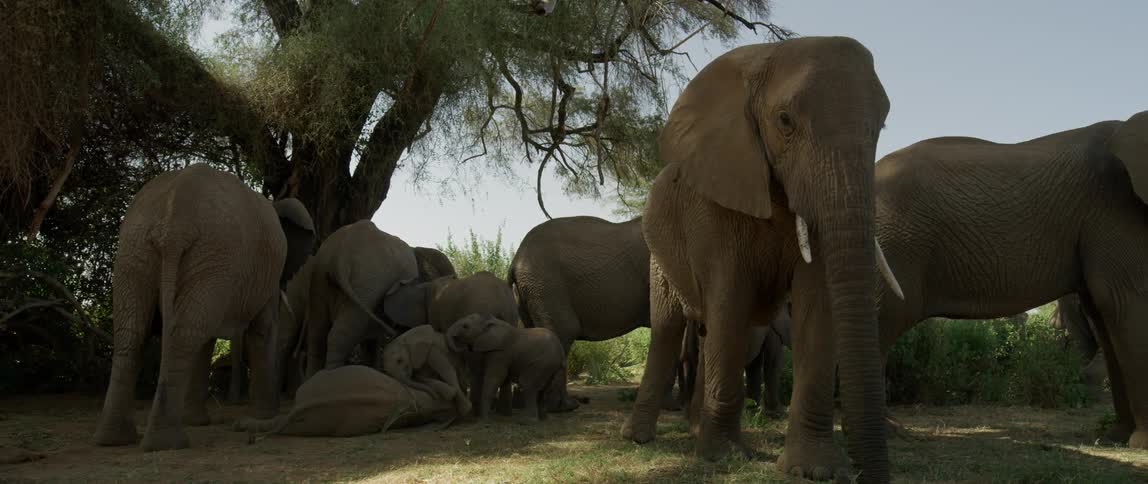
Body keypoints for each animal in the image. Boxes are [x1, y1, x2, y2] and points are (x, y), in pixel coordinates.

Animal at [93, 163, 300, 451]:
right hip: (208, 253)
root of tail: (174, 222)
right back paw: (165, 442)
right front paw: (264, 418)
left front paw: (199, 422)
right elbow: (262, 330)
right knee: (183, 334)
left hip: (138, 251)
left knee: (133, 333)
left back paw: (118, 440)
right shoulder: (267, 273)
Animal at [621, 37, 902, 482]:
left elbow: (817, 305)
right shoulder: (715, 201)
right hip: (658, 253)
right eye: (785, 121)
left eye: (881, 127)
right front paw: (724, 457)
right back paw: (639, 439)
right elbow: (730, 299)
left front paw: (814, 469)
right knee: (668, 327)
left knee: (705, 332)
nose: (864, 474)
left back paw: (695, 430)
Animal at [872, 111, 1148, 449]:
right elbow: (1126, 301)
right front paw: (1140, 444)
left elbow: (1104, 310)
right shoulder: (1116, 210)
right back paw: (886, 431)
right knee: (884, 320)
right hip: (897, 245)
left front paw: (1115, 439)